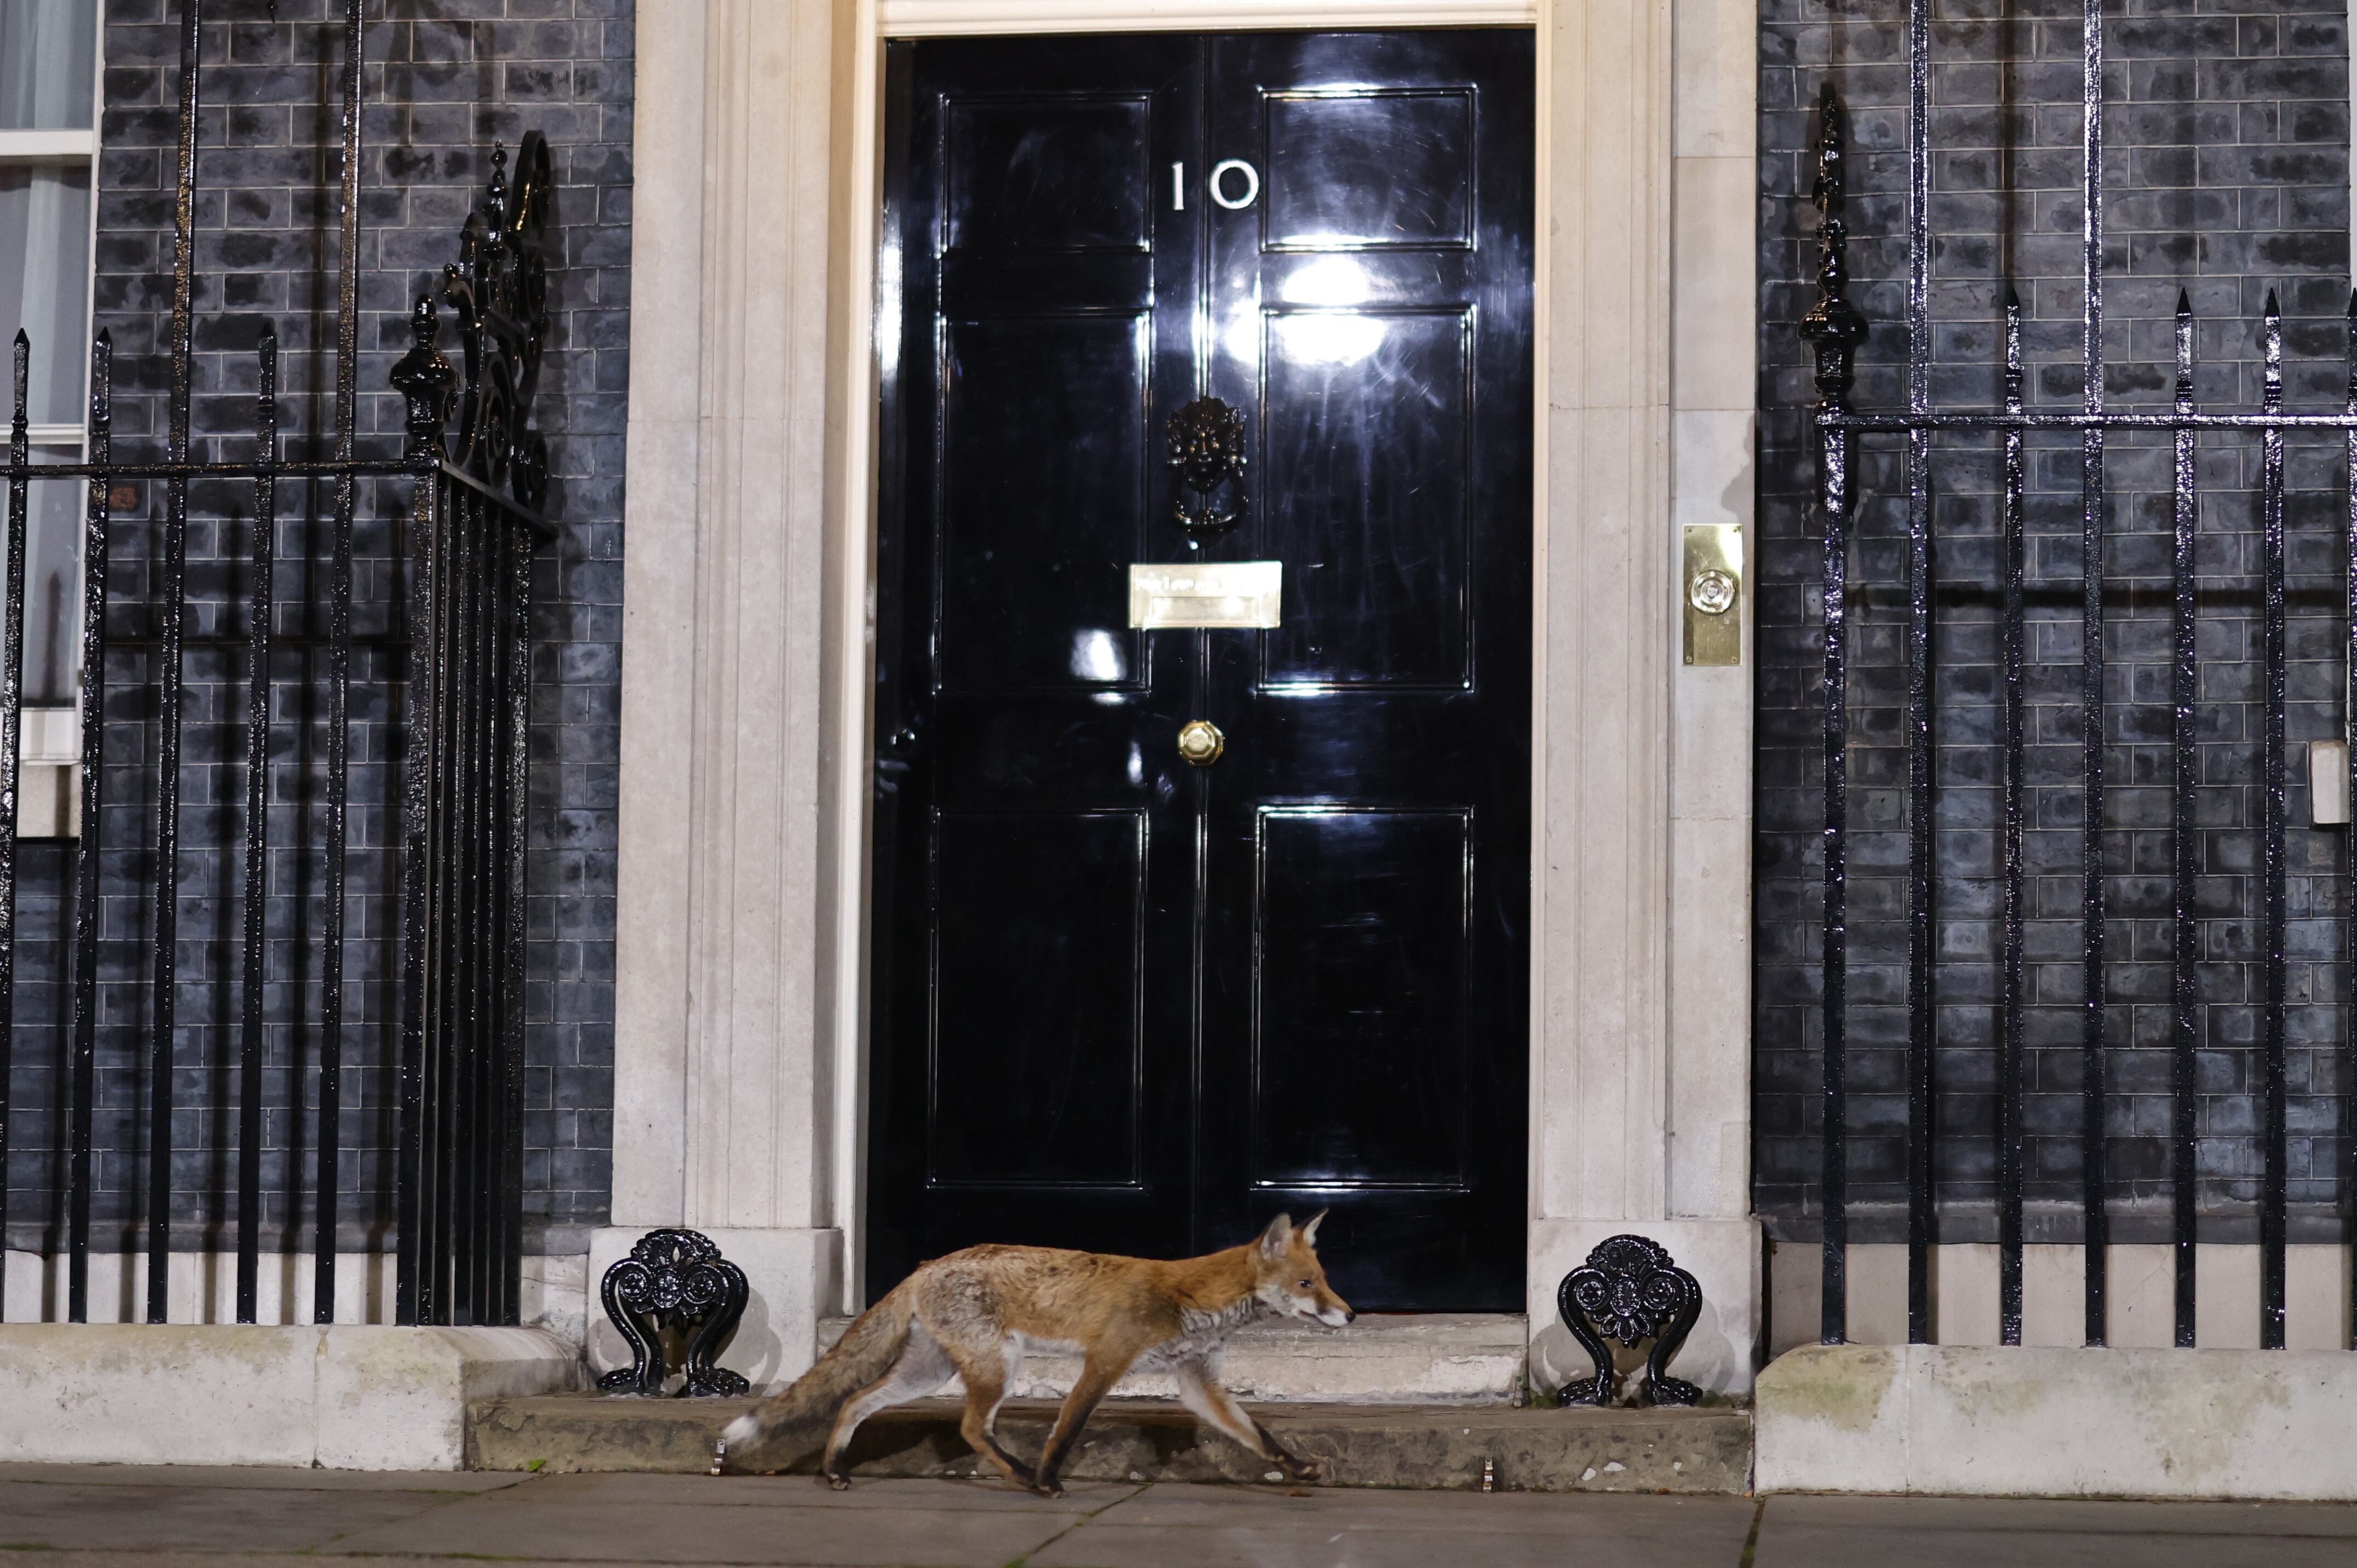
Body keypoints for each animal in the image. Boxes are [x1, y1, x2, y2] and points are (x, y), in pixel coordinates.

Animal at [707, 1207, 1358, 1490]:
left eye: (1324, 1279)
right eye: (1308, 1283)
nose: (1350, 1314)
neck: (1193, 1300)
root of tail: (925, 1266)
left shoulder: (1199, 1382)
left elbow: (1259, 1436)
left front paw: (1297, 1467)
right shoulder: (1106, 1361)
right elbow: (1065, 1429)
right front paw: (1048, 1477)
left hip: (928, 1371)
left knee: (854, 1401)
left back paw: (834, 1469)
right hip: (998, 1367)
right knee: (971, 1428)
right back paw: (1022, 1476)